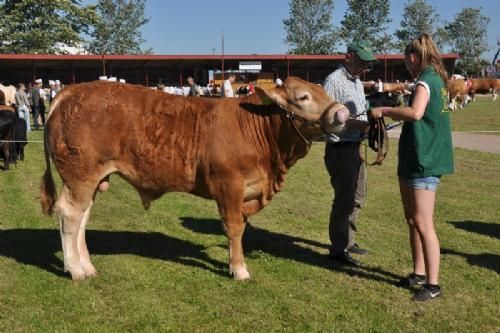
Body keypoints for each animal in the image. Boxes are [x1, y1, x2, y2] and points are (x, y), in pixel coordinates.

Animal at [41, 77, 358, 280]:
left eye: (324, 93)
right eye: (303, 97)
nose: (343, 112)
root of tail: (72, 91)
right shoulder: (229, 186)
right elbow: (234, 228)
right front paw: (239, 269)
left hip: (92, 178)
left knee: (82, 217)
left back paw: (86, 265)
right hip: (80, 176)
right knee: (69, 214)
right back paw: (76, 270)